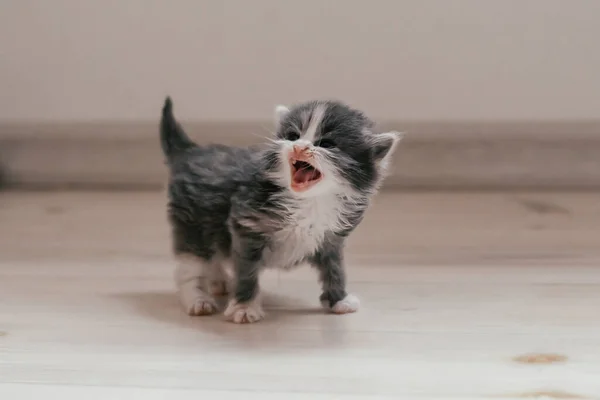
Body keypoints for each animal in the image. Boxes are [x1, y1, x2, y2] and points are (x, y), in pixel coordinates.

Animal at [162, 97, 400, 324]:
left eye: (327, 144)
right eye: (293, 136)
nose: (299, 147)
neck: (310, 201)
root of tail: (191, 151)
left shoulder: (331, 238)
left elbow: (335, 268)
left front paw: (339, 300)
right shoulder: (246, 225)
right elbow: (246, 270)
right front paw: (244, 308)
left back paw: (218, 281)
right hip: (192, 223)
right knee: (190, 265)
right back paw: (198, 299)